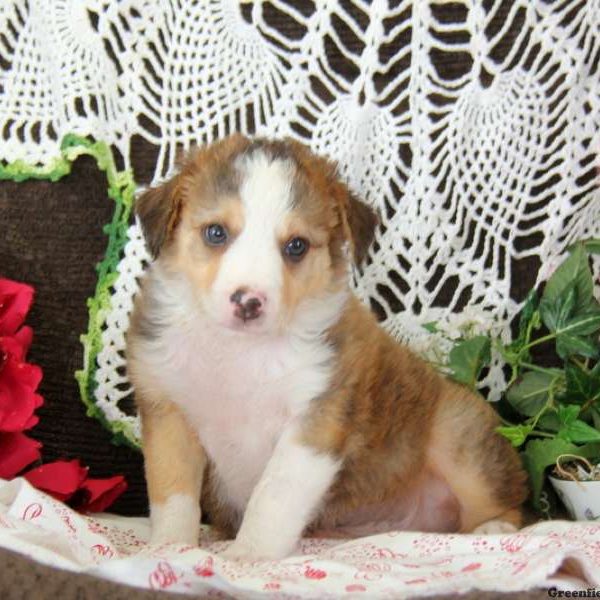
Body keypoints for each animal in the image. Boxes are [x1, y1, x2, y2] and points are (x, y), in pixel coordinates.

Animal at [126, 135, 524, 556]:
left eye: (297, 245)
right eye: (216, 232)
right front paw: (169, 549)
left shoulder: (314, 421)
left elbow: (272, 498)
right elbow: (173, 496)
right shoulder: (168, 414)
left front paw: (247, 557)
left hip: (459, 435)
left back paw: (494, 528)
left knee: (508, 501)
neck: (239, 351)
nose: (248, 302)